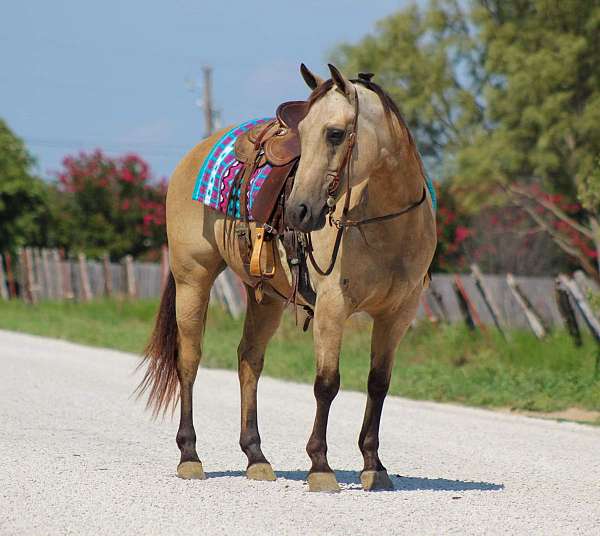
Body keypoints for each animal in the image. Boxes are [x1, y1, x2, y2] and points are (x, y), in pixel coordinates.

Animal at [136, 61, 436, 490]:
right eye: (303, 133)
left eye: (335, 133)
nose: (298, 211)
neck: (385, 223)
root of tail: (193, 155)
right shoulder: (332, 308)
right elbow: (327, 383)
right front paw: (320, 466)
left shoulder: (398, 315)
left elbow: (378, 384)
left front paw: (374, 466)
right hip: (193, 280)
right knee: (188, 361)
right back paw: (190, 456)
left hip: (266, 298)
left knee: (249, 360)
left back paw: (256, 458)